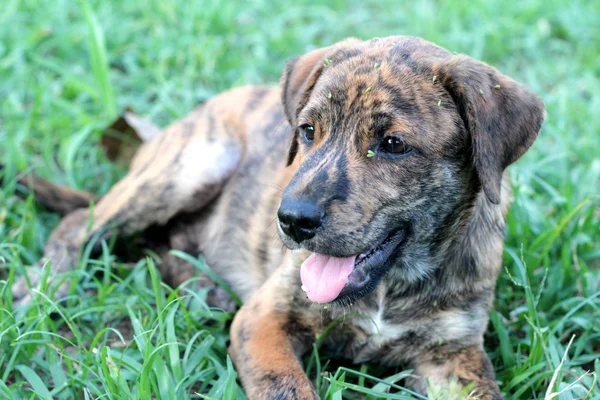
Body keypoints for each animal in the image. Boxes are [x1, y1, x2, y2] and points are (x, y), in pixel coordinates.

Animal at [10, 36, 544, 398]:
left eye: (393, 144)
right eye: (307, 131)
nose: (291, 221)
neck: (390, 287)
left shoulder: (453, 354)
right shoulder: (264, 318)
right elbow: (286, 387)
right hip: (192, 165)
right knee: (80, 223)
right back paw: (40, 287)